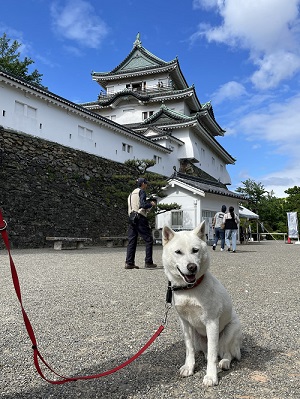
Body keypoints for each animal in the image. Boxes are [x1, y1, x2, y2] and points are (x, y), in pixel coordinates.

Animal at [162, 222, 241, 388]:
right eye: (178, 252)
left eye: (195, 250)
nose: (192, 267)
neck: (189, 290)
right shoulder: (185, 323)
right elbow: (189, 349)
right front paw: (189, 367)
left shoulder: (211, 322)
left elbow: (212, 354)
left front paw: (211, 376)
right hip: (198, 339)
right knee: (205, 351)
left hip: (229, 332)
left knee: (226, 353)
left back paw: (224, 362)